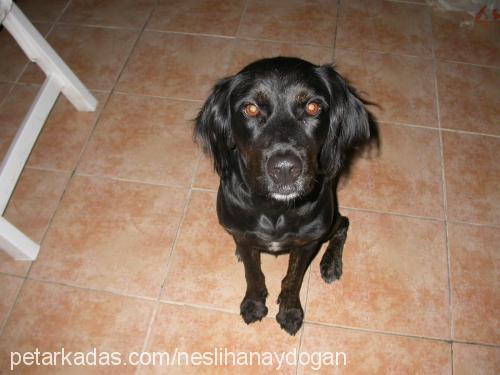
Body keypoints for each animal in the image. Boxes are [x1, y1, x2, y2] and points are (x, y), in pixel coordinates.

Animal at [193, 55, 374, 334]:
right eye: (251, 109)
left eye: (312, 107)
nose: (285, 170)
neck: (275, 209)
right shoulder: (244, 236)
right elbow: (253, 274)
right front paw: (254, 304)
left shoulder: (307, 242)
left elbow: (292, 279)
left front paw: (289, 312)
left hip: (329, 223)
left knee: (344, 223)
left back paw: (331, 263)